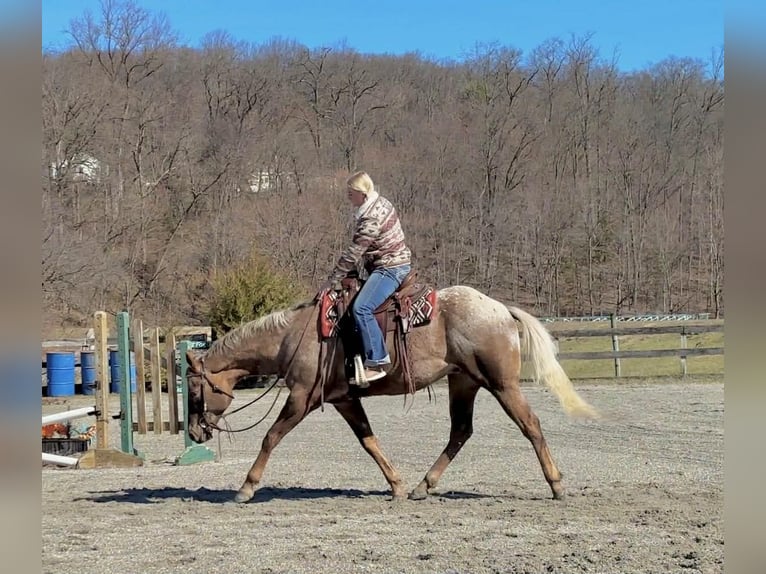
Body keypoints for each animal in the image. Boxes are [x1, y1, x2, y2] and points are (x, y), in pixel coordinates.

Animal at [185, 285, 598, 503]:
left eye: (193, 389)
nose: (194, 432)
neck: (293, 336)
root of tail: (499, 309)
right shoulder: (344, 399)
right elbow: (369, 441)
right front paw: (396, 484)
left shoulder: (302, 398)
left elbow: (270, 436)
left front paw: (246, 488)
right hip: (464, 382)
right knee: (460, 432)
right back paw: (421, 487)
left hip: (502, 385)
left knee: (531, 425)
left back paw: (556, 484)